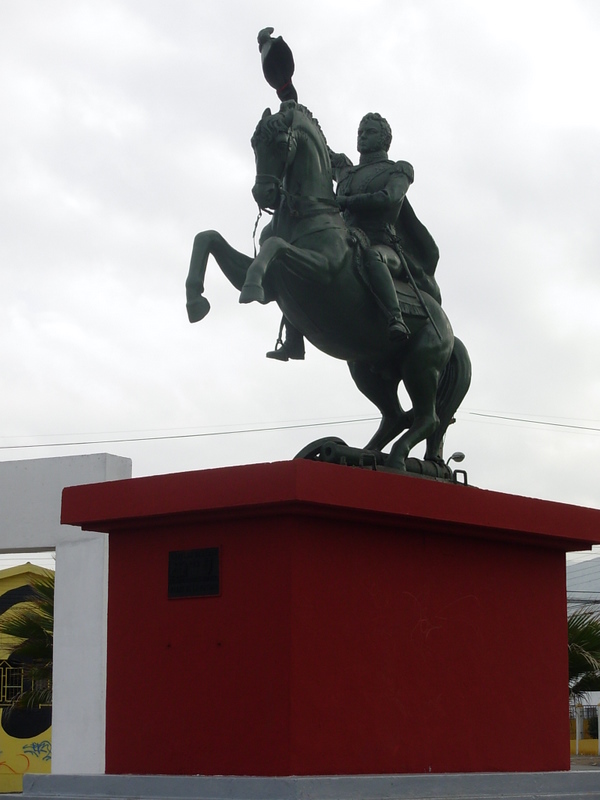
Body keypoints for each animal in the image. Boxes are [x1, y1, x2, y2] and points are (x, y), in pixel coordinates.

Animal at [185, 103, 472, 472]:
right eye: (253, 143)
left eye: (280, 143)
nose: (263, 194)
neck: (305, 215)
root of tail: (449, 329)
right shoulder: (274, 286)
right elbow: (207, 237)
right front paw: (196, 302)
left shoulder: (318, 272)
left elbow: (274, 246)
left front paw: (248, 288)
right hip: (368, 369)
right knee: (396, 416)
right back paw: (364, 453)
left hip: (420, 367)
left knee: (427, 418)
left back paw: (396, 459)